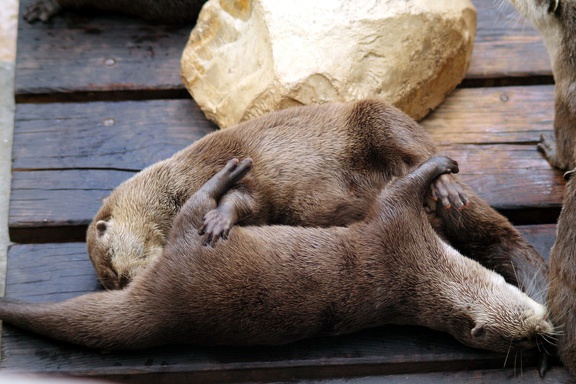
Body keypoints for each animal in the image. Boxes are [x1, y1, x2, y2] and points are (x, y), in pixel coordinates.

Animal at [0, 156, 552, 354]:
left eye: (519, 341)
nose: (542, 334)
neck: (428, 271)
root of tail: (162, 307)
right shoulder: (397, 226)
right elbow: (404, 186)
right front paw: (443, 165)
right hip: (189, 243)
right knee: (197, 206)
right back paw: (227, 174)